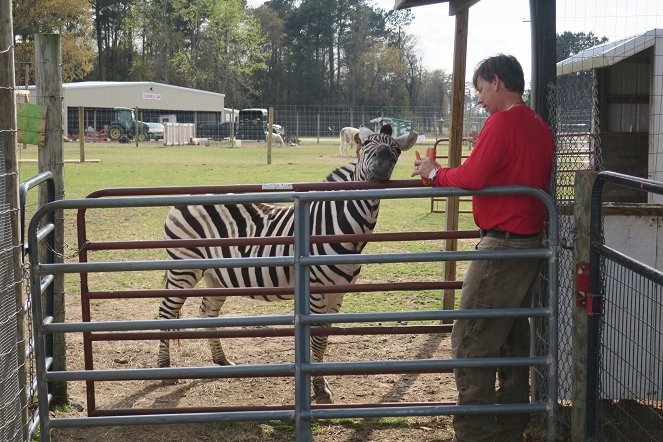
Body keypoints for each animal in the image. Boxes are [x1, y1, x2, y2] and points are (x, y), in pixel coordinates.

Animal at [158, 124, 418, 404]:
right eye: (367, 144)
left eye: (396, 149)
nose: (383, 161)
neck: (339, 225)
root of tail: (187, 197)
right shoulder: (316, 289)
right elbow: (316, 337)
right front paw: (319, 388)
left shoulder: (338, 292)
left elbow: (324, 337)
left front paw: (321, 384)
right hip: (184, 267)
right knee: (166, 312)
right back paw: (164, 370)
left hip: (216, 275)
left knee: (208, 312)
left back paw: (221, 360)